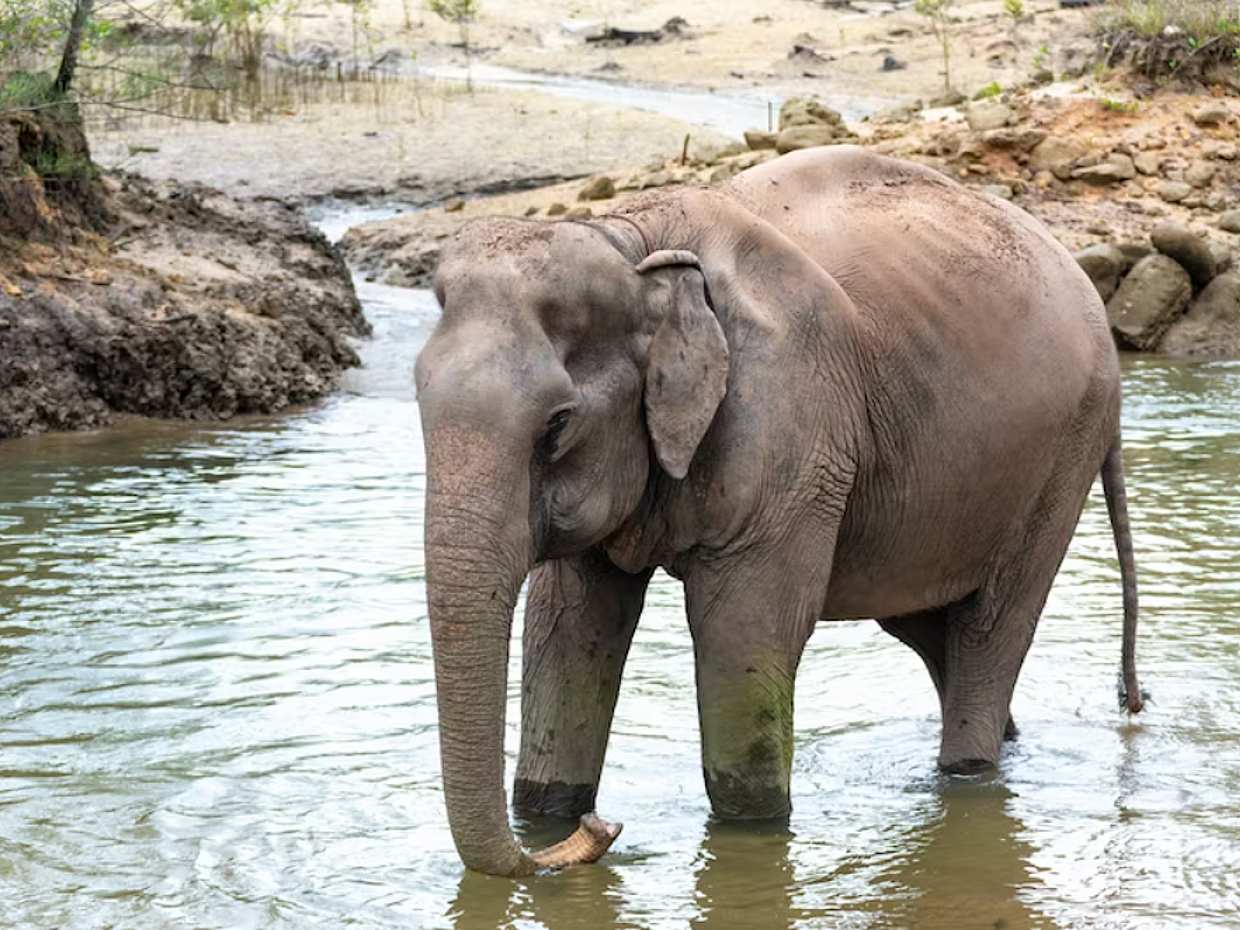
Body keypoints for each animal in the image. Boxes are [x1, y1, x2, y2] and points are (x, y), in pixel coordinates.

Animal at [414, 145, 1144, 877]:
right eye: (418, 399)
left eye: (557, 425)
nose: (603, 829)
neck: (631, 240)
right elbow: (569, 625)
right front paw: (548, 812)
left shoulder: (791, 420)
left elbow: (743, 634)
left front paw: (750, 833)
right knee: (931, 628)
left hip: (1059, 461)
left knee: (993, 626)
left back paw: (968, 772)